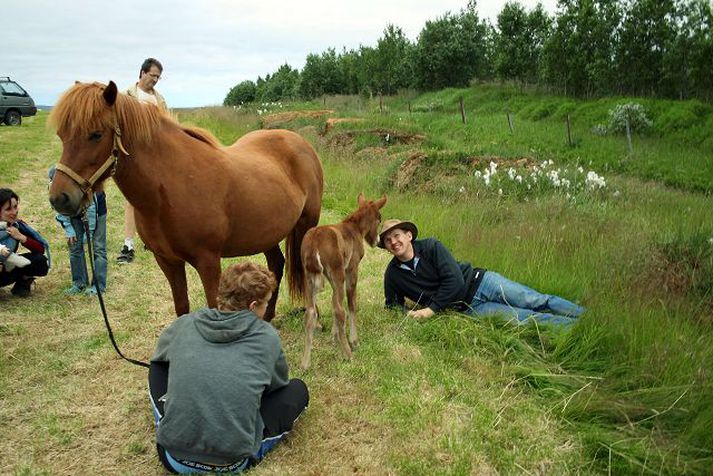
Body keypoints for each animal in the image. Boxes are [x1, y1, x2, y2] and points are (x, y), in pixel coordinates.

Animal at [51, 82, 324, 320]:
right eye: (61, 135)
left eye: (96, 134)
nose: (60, 198)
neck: (171, 187)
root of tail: (301, 143)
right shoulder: (168, 261)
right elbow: (182, 307)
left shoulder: (208, 262)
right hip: (266, 233)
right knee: (276, 265)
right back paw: (267, 316)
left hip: (306, 225)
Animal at [302, 192, 390, 368]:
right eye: (379, 218)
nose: (377, 241)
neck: (355, 228)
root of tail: (313, 243)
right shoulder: (351, 268)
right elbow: (351, 303)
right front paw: (353, 340)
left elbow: (333, 301)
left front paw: (334, 336)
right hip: (337, 273)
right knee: (339, 310)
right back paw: (348, 354)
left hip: (310, 278)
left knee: (311, 312)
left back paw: (305, 363)